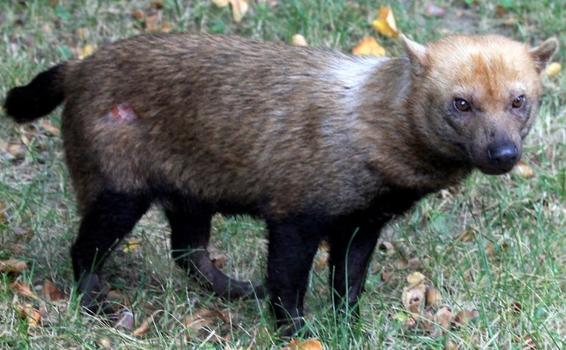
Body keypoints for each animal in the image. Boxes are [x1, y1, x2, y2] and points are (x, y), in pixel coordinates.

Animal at [3, 33, 560, 336]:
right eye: (460, 103)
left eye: (519, 100)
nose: (503, 154)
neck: (366, 130)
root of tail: (78, 68)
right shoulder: (295, 215)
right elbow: (288, 284)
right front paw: (297, 331)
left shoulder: (362, 225)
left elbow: (347, 284)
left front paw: (348, 326)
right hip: (119, 193)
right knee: (85, 249)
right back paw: (95, 304)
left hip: (190, 192)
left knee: (188, 252)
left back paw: (234, 289)